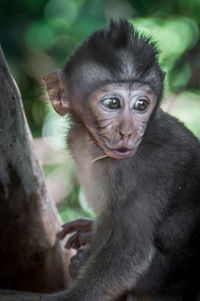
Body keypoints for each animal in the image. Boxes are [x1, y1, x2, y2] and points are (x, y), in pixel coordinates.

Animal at [43, 20, 200, 300]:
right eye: (113, 103)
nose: (128, 132)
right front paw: (88, 229)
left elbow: (130, 251)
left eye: (141, 105)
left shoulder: (146, 172)